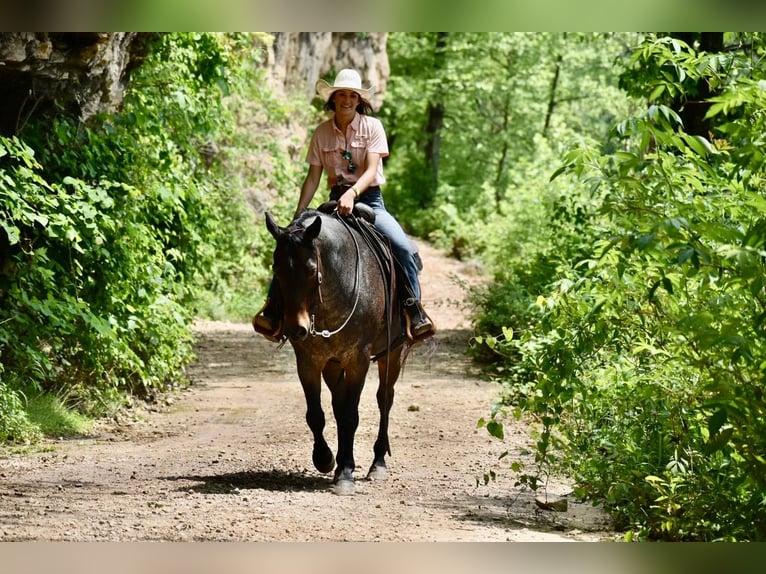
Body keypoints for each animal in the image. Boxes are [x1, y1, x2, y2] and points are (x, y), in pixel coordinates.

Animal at [268, 206, 416, 496]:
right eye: (275, 268)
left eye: (311, 269)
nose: (295, 329)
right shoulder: (309, 361)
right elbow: (316, 414)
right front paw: (325, 459)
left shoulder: (359, 359)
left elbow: (350, 415)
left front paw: (346, 473)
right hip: (333, 364)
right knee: (339, 404)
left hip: (393, 353)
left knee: (384, 400)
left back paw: (377, 464)